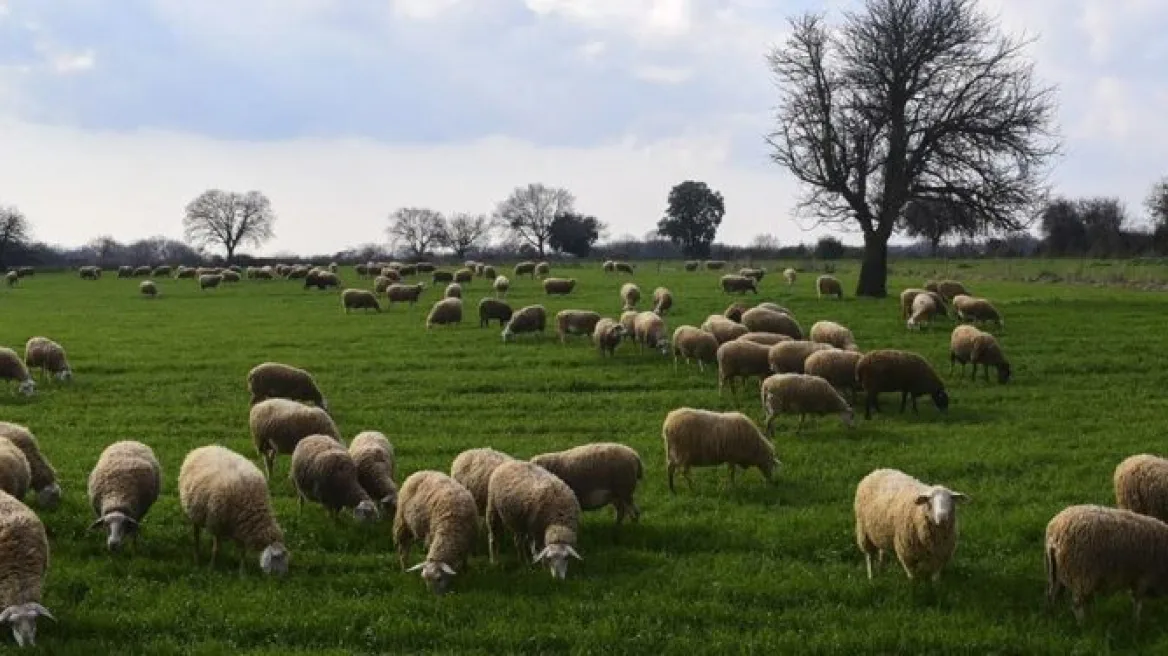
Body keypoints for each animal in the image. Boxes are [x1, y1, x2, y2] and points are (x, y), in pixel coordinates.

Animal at [176, 443, 288, 571]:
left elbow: (242, 550)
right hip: (195, 512)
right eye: (276, 558)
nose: (284, 575)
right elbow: (216, 549)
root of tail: (204, 447)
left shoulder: (241, 526)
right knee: (196, 534)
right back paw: (197, 556)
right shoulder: (216, 524)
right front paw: (212, 567)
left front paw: (242, 571)